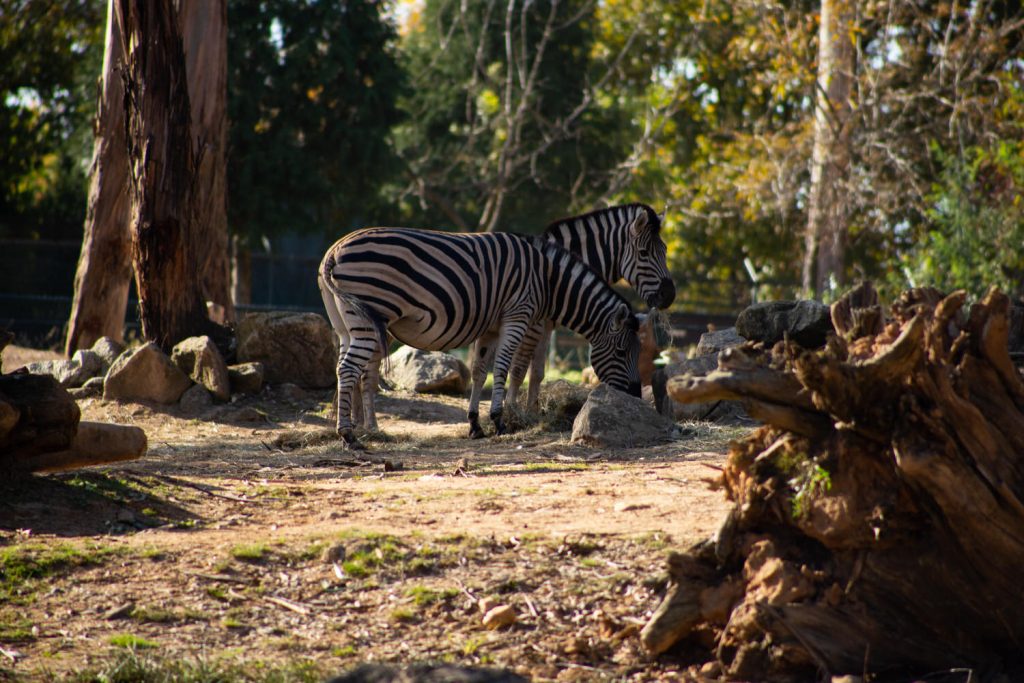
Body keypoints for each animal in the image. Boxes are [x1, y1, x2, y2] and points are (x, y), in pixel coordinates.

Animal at [317, 229, 638, 448]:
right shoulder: (517, 316)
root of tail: (333, 251)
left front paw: (475, 425)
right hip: (367, 317)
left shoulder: (490, 328)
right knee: (349, 369)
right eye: (623, 352)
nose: (634, 396)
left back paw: (354, 430)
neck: (548, 278)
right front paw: (499, 421)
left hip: (345, 324)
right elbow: (503, 369)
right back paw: (349, 436)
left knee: (343, 368)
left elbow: (480, 371)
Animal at [501, 204, 671, 411]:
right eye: (644, 253)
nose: (670, 294)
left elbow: (537, 371)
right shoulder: (534, 323)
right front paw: (511, 410)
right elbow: (519, 366)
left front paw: (532, 410)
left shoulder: (546, 325)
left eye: (665, 249)